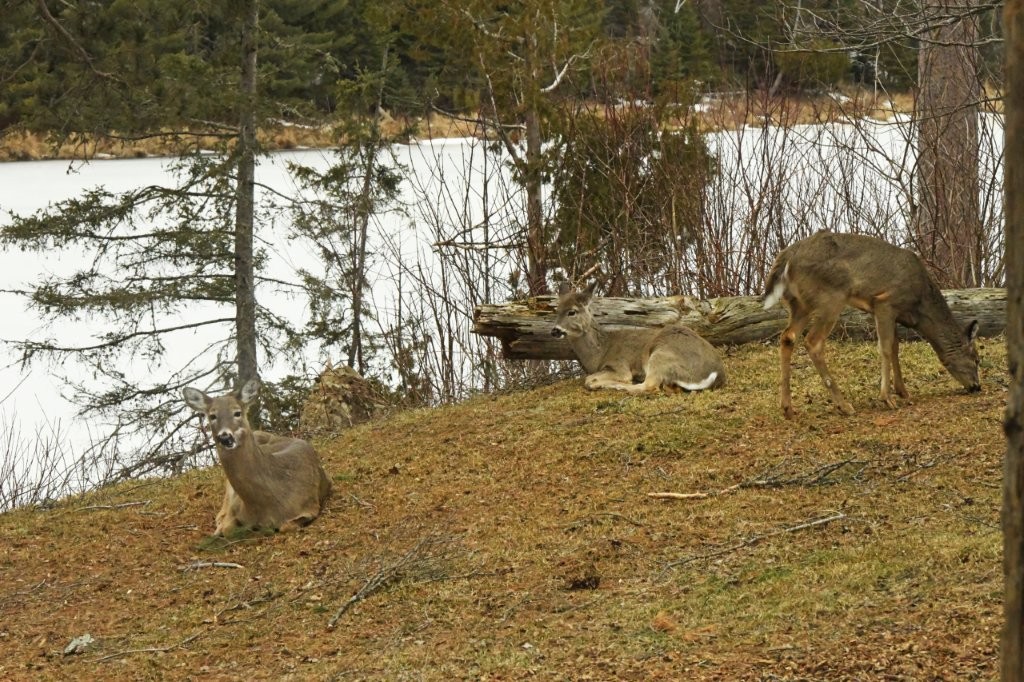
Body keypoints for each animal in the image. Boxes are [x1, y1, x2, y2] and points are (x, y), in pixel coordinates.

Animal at [183, 379, 332, 535]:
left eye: (237, 412)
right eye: (212, 416)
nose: (225, 437)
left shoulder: (310, 505)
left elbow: (286, 526)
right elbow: (226, 528)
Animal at [551, 281, 726, 394]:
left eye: (572, 311)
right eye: (556, 310)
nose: (555, 331)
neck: (600, 353)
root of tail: (715, 373)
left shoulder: (619, 365)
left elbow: (589, 379)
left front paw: (601, 381)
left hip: (661, 355)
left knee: (647, 386)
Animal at [762, 231, 980, 419]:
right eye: (977, 359)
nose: (977, 387)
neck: (920, 304)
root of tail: (787, 256)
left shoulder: (891, 313)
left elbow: (895, 347)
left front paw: (903, 391)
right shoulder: (885, 302)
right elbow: (885, 348)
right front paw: (887, 398)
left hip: (799, 304)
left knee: (787, 337)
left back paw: (788, 408)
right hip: (830, 298)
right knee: (813, 341)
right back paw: (844, 405)